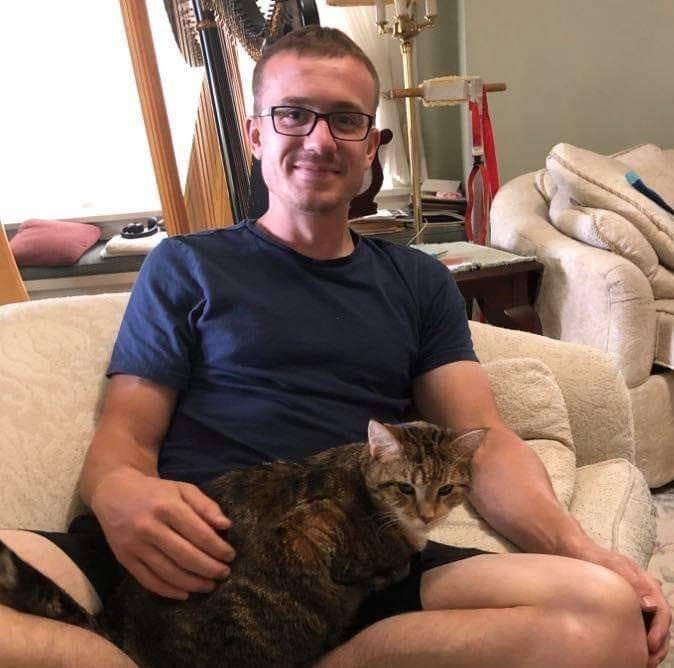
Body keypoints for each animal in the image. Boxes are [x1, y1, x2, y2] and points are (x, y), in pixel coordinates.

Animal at [0, 419, 485, 668]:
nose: (427, 515)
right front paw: (393, 564)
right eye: (405, 487)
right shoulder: (309, 526)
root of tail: (123, 631)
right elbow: (380, 567)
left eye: (446, 489)